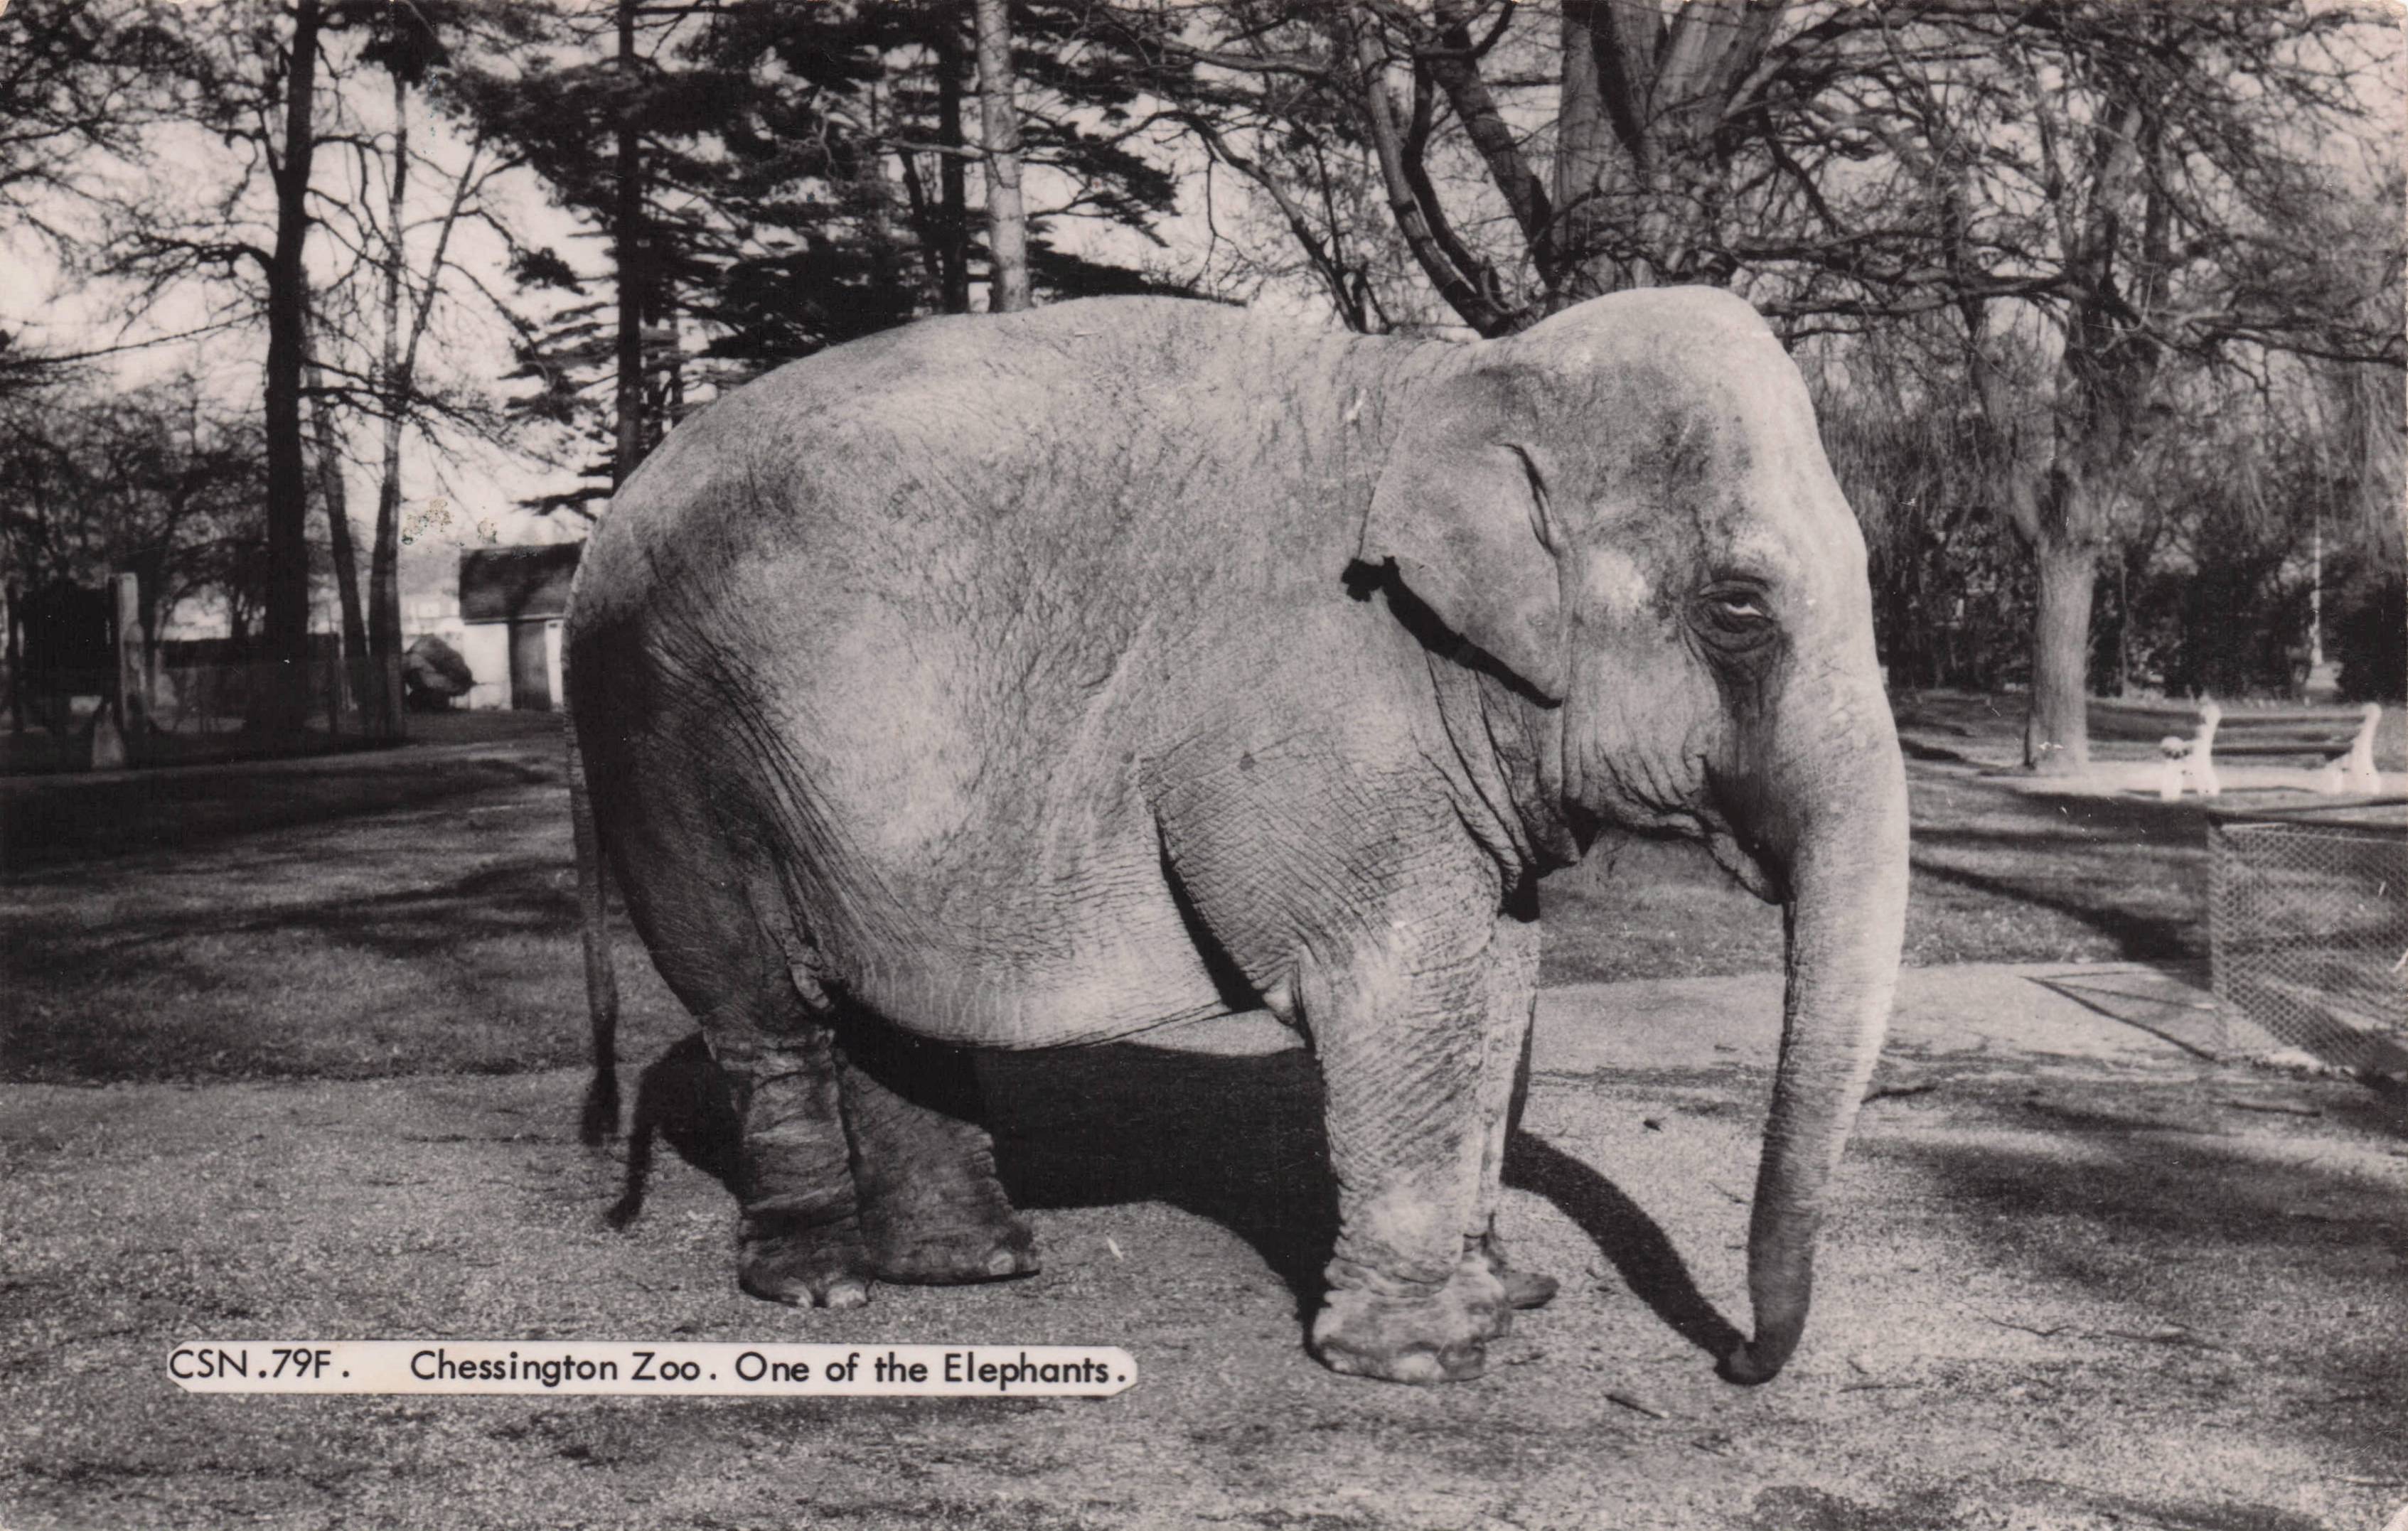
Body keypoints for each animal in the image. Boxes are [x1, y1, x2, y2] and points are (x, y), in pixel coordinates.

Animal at [564, 286, 1909, 1386]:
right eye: (1737, 610)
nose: (1737, 1357)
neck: (1460, 375)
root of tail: (596, 534)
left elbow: (1502, 974)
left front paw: (1502, 1293)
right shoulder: (1319, 706)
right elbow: (1394, 981)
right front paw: (1429, 1355)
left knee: (887, 998)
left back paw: (975, 1264)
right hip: (671, 741)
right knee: (757, 998)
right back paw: (822, 1281)